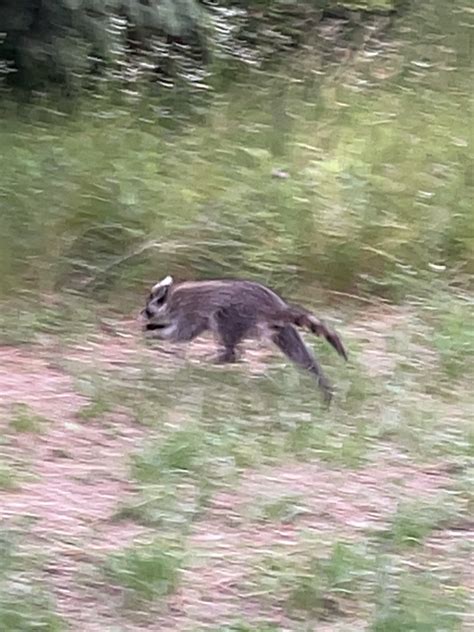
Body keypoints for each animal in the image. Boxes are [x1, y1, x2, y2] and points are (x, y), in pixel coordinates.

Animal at [139, 274, 346, 402]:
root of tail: (274, 305)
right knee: (298, 352)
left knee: (225, 328)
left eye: (148, 306)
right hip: (279, 327)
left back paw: (224, 356)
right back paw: (318, 376)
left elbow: (182, 334)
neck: (169, 298)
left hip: (237, 313)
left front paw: (156, 333)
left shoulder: (189, 310)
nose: (141, 313)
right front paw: (154, 328)